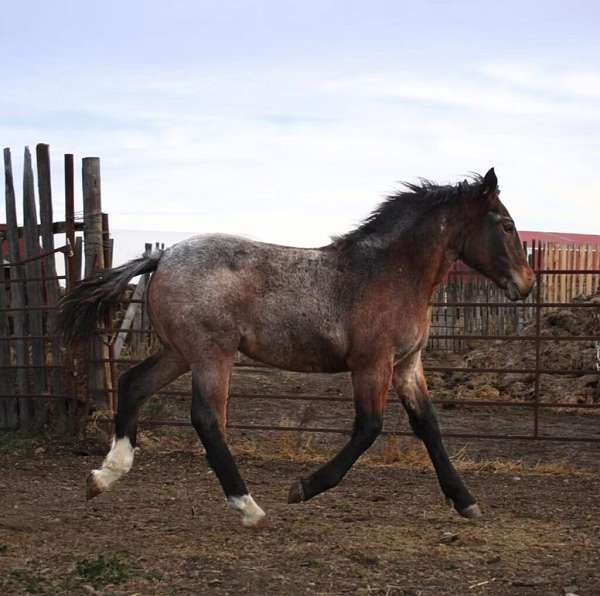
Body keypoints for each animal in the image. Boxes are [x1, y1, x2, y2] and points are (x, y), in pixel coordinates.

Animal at [56, 168, 536, 528]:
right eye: (507, 224)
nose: (527, 284)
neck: (391, 272)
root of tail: (162, 256)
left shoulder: (407, 365)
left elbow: (428, 426)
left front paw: (466, 501)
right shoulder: (372, 364)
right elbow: (369, 428)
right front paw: (303, 488)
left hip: (180, 352)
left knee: (134, 384)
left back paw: (103, 477)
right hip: (212, 355)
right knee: (207, 419)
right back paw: (248, 507)